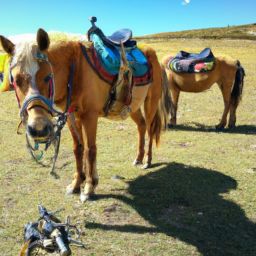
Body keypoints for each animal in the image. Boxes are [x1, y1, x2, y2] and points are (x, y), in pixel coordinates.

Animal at [0, 29, 172, 202]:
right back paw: (138, 158)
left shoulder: (90, 115)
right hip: (133, 107)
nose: (39, 129)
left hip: (150, 103)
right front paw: (76, 184)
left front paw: (89, 187)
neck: (75, 68)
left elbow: (90, 149)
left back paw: (147, 161)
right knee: (141, 126)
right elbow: (78, 148)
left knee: (150, 130)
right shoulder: (71, 115)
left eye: (48, 76)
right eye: (15, 80)